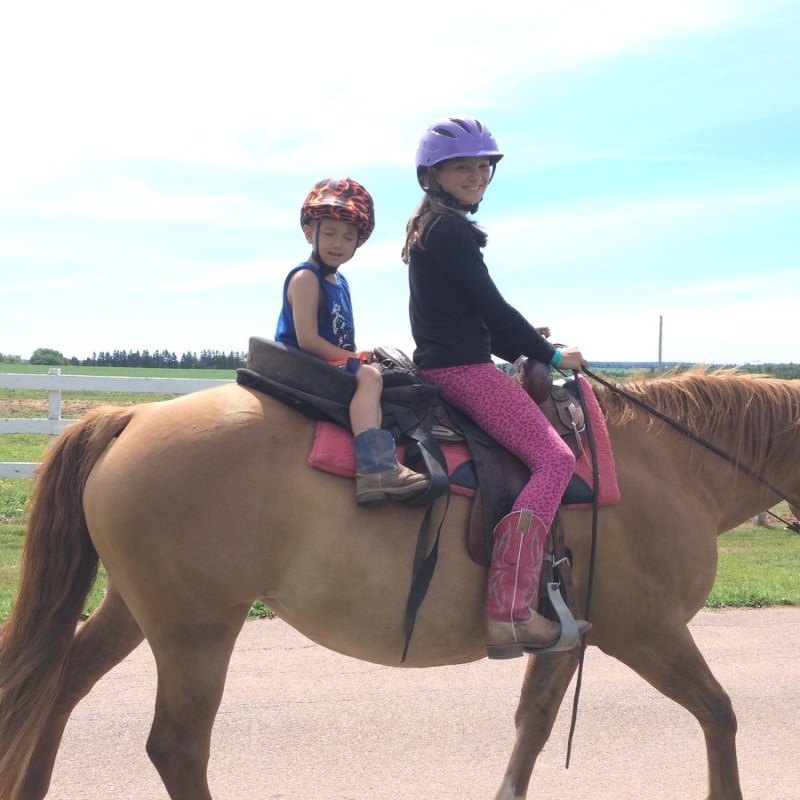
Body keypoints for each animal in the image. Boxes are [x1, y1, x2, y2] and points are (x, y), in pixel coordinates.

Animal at [0, 367, 798, 800]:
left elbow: (533, 728)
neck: (676, 465)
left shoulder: (570, 636)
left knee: (60, 688)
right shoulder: (650, 633)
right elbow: (720, 713)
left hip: (139, 610)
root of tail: (133, 414)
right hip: (197, 628)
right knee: (176, 746)